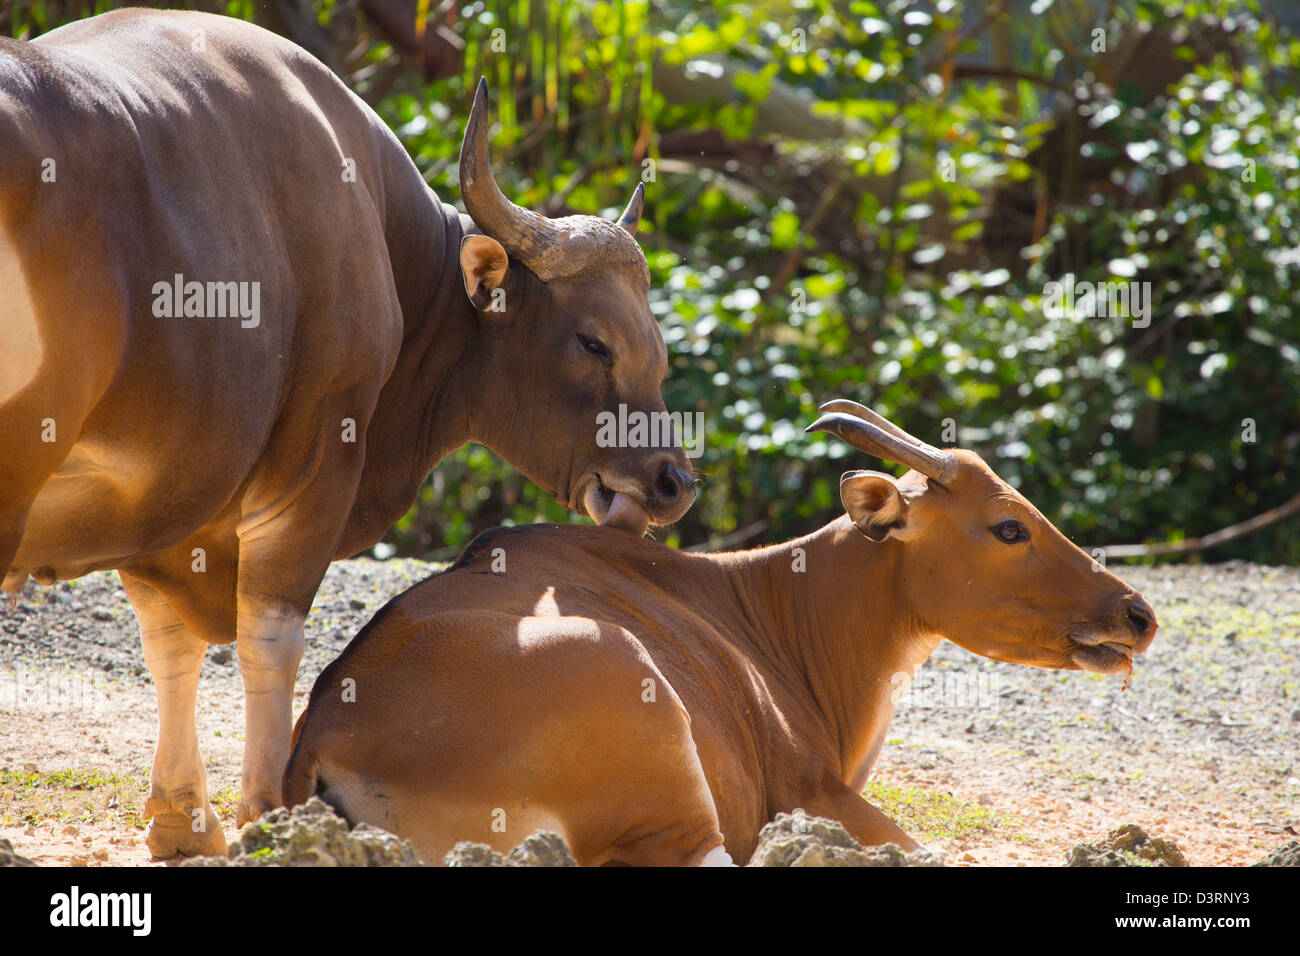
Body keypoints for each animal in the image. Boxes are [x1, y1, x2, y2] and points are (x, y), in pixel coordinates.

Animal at [0, 7, 696, 858]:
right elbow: (270, 636)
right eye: (595, 342)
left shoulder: (168, 502)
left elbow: (170, 644)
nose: (672, 480)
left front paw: (183, 821)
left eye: (658, 348)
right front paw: (267, 814)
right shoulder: (311, 468)